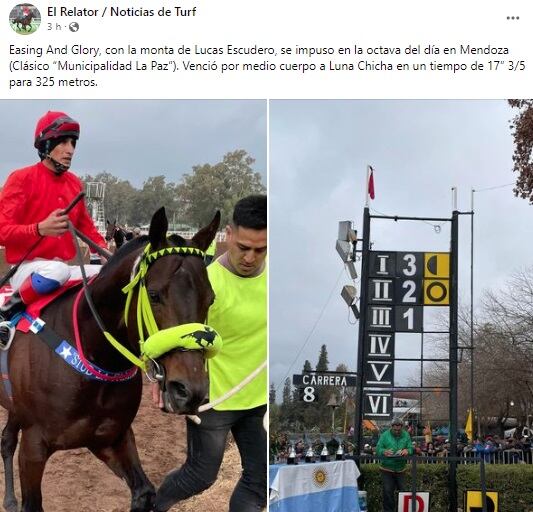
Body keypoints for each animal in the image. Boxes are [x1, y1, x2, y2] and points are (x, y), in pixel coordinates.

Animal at [0, 206, 219, 510]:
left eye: (210, 299)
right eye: (154, 295)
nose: (191, 391)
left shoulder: (111, 437)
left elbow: (144, 491)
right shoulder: (33, 446)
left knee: (6, 439)